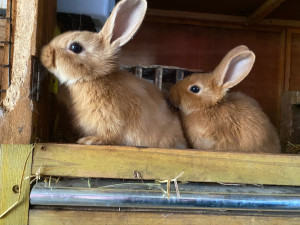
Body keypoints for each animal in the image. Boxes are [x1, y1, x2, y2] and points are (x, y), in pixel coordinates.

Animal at [40, 0, 186, 149]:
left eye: (75, 47)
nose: (44, 53)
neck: (95, 78)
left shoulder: (112, 119)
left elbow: (111, 135)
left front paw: (91, 140)